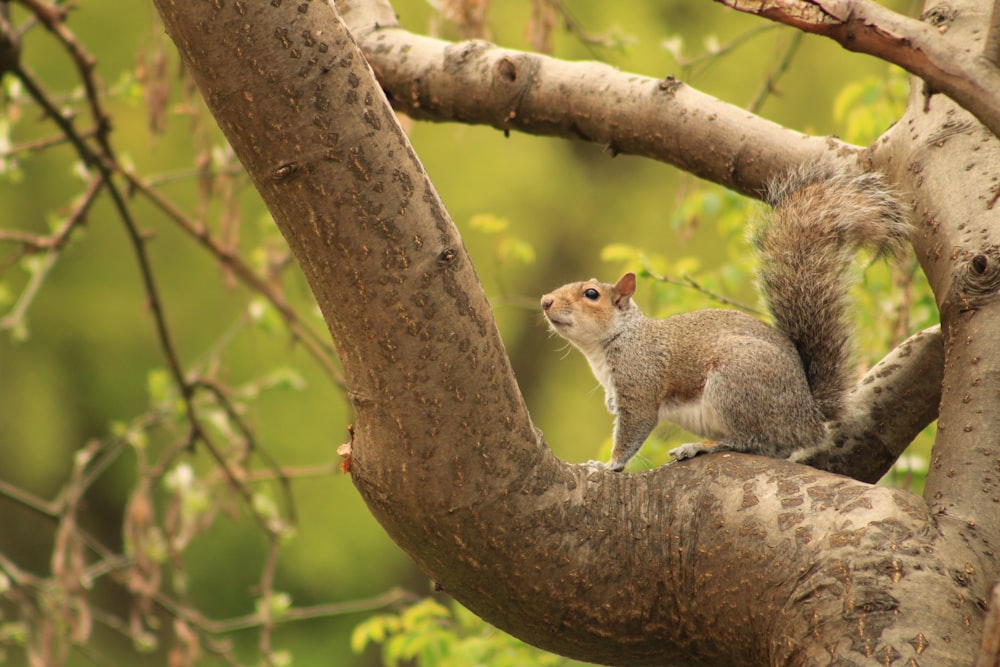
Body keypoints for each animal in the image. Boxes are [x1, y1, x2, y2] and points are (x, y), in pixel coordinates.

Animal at [544, 162, 912, 472]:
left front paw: (608, 466)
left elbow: (635, 428)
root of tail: (808, 416)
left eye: (591, 294)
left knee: (757, 442)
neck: (615, 340)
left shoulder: (641, 380)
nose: (545, 301)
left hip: (735, 383)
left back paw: (704, 446)